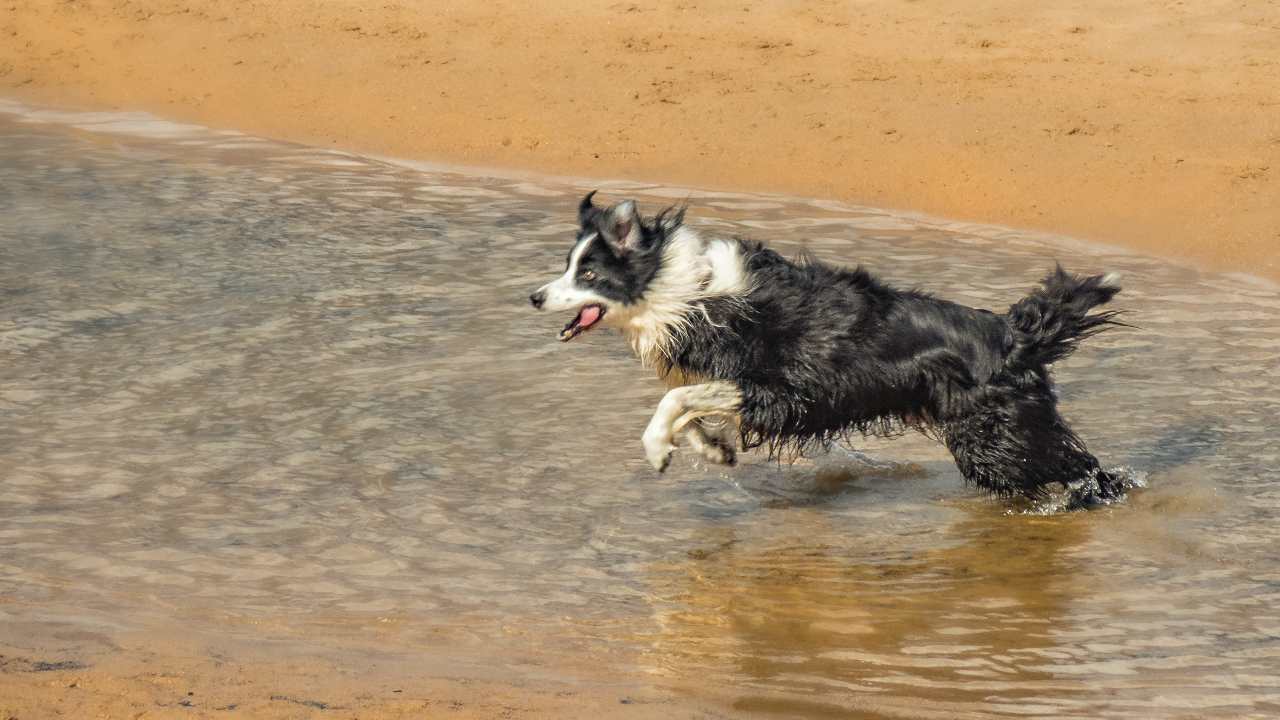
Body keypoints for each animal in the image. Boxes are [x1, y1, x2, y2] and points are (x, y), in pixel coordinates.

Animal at [527, 190, 1121, 504]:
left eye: (588, 272)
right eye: (568, 265)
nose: (534, 297)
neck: (684, 289)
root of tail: (1010, 333)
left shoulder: (778, 390)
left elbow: (672, 402)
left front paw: (658, 450)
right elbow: (689, 410)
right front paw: (713, 449)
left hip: (994, 441)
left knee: (1082, 469)